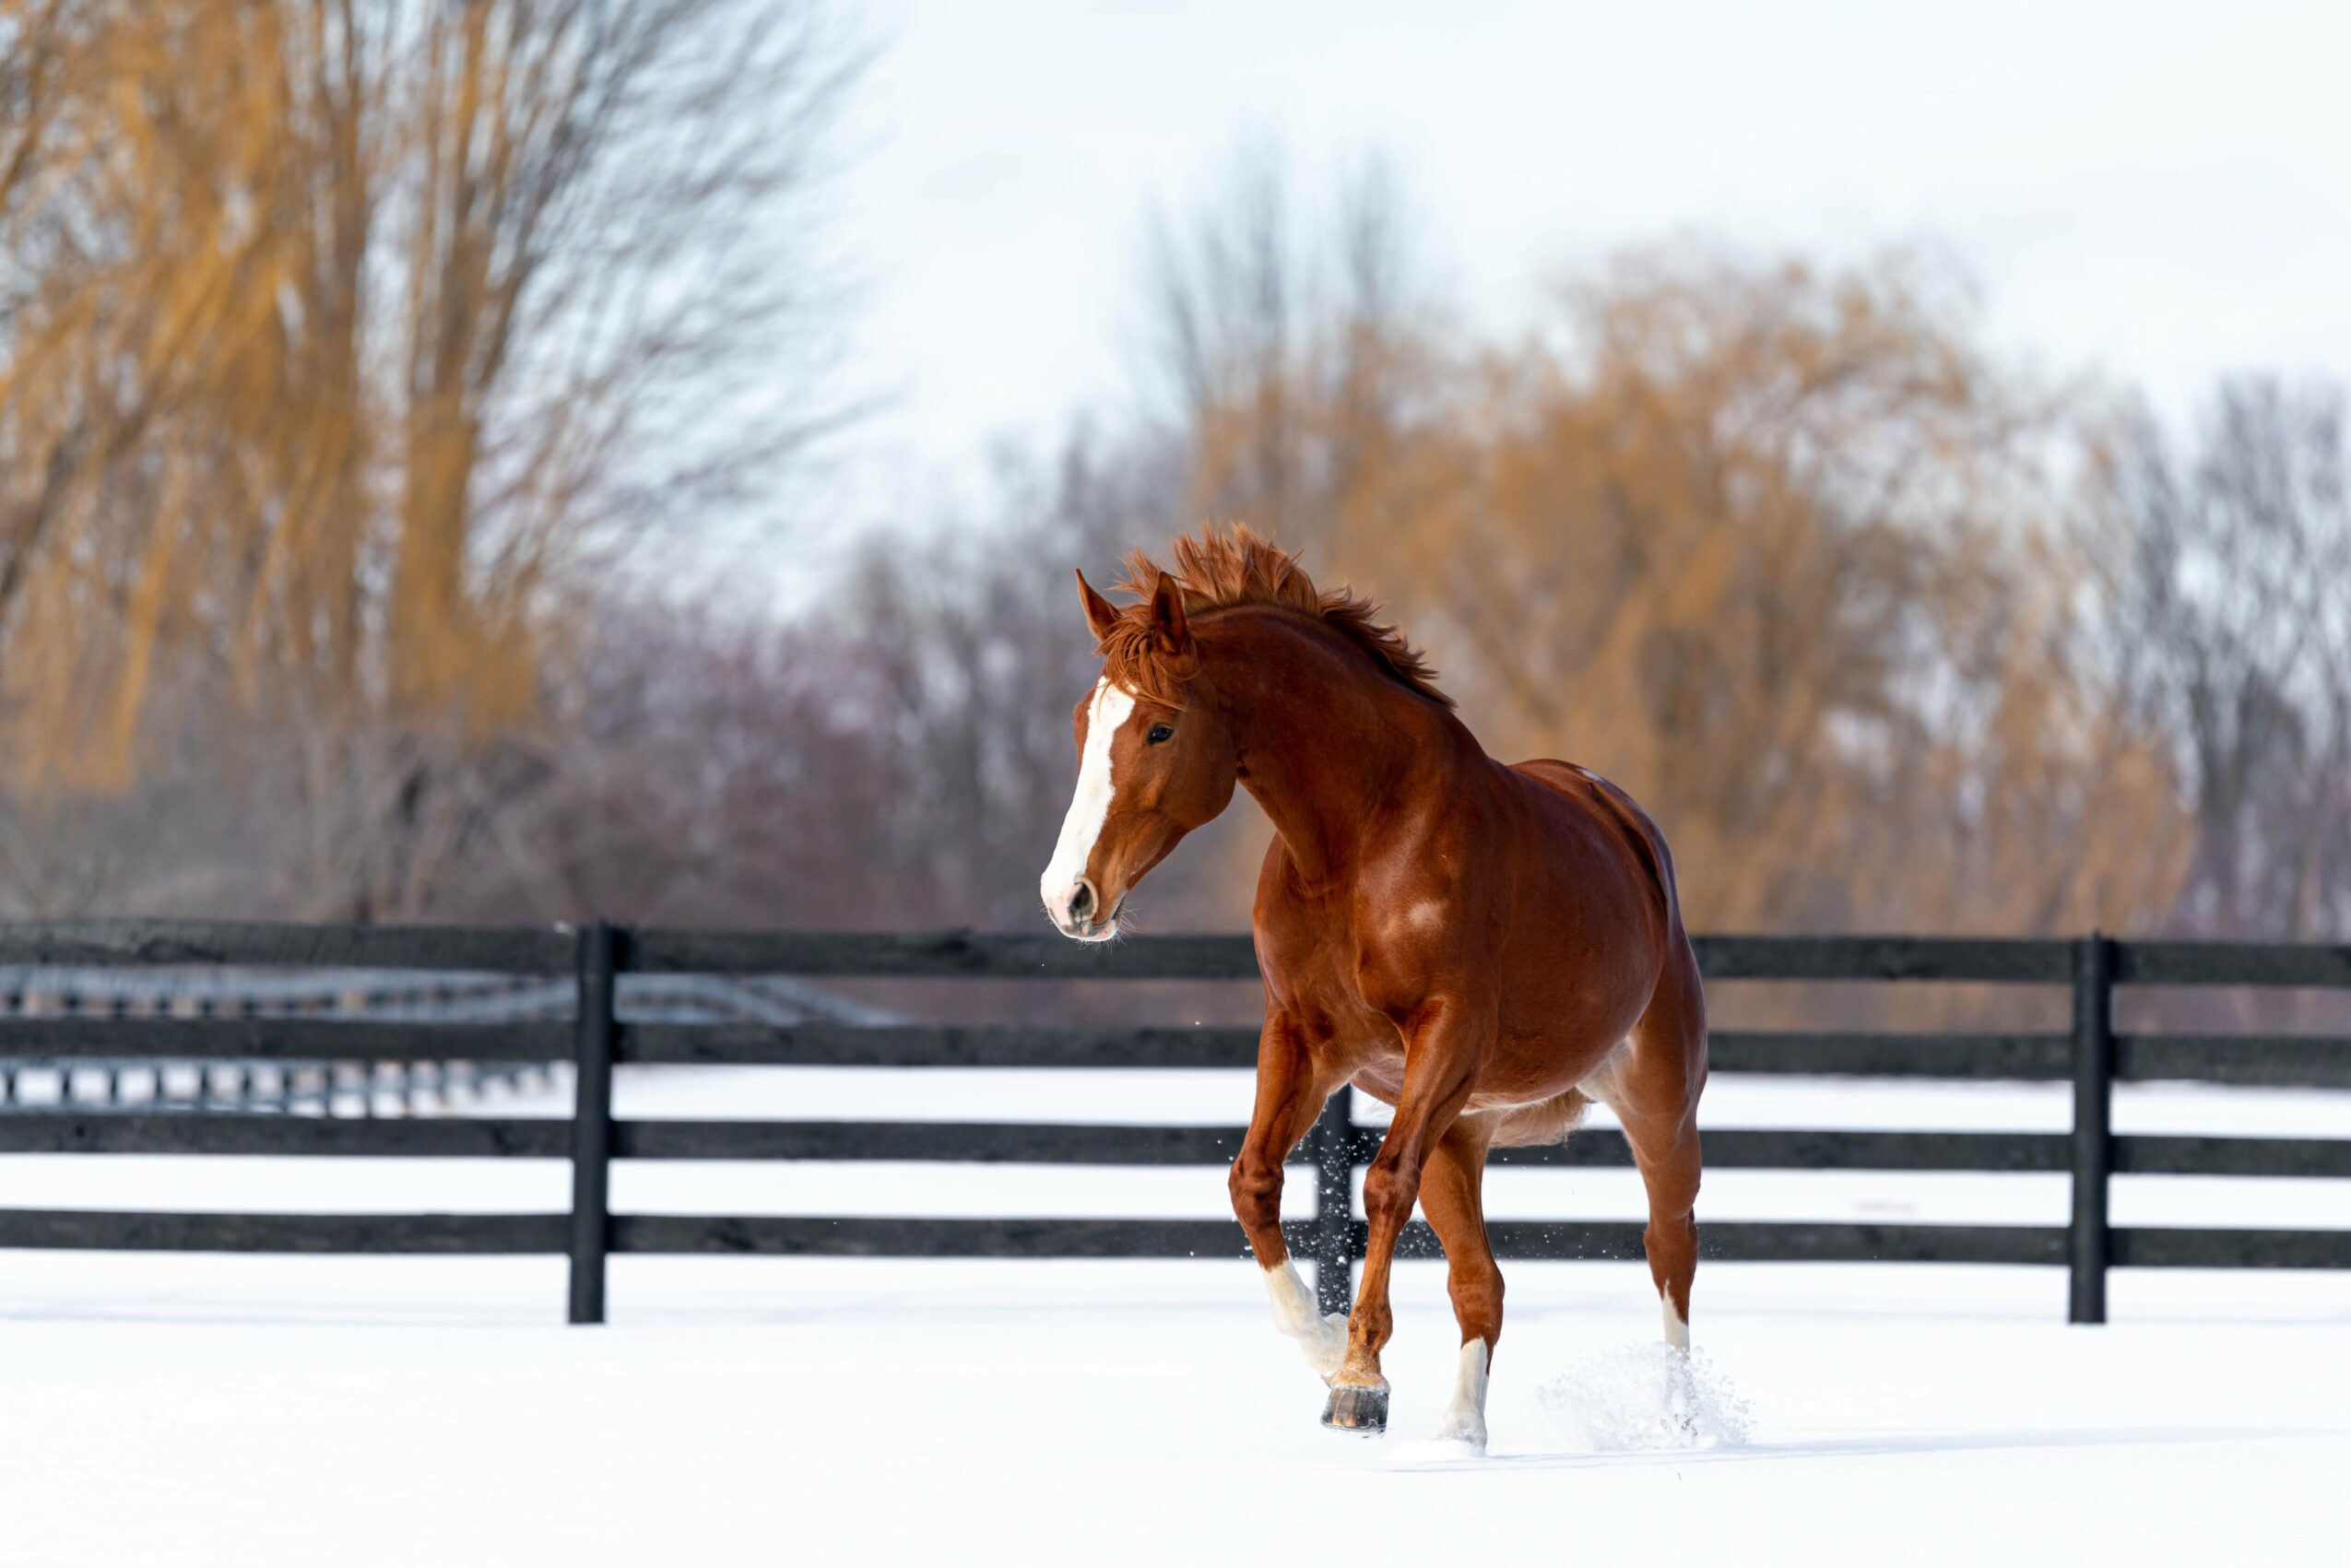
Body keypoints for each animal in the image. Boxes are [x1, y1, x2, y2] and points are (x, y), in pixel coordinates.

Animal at [1038, 525, 1707, 1450]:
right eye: (1084, 720)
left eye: (1161, 728)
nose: (1068, 897)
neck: (1361, 842)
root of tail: (1631, 829)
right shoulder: (1306, 1038)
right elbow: (1253, 1180)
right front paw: (1327, 1353)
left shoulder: (1445, 1031)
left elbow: (1381, 1184)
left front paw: (1358, 1380)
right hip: (1462, 1129)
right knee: (1481, 1281)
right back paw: (1461, 1429)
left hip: (1657, 1109)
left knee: (1668, 1251)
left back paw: (1680, 1420)